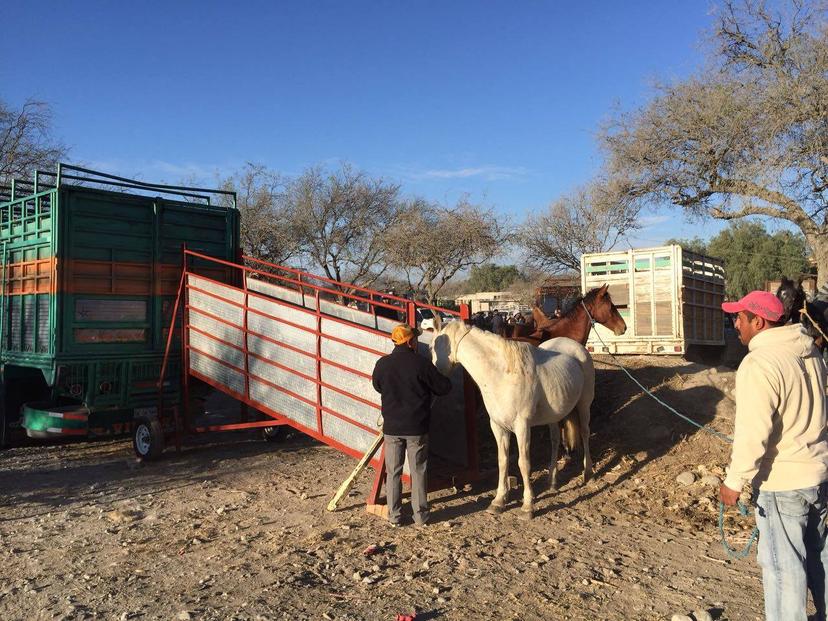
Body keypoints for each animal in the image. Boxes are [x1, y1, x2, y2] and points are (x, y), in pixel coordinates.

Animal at [430, 320, 592, 520]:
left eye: (431, 347)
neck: (501, 374)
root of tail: (577, 347)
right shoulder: (498, 426)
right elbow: (503, 461)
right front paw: (499, 501)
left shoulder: (522, 427)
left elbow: (524, 463)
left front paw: (528, 506)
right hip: (553, 415)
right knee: (555, 440)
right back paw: (552, 480)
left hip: (584, 404)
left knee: (584, 433)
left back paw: (587, 472)